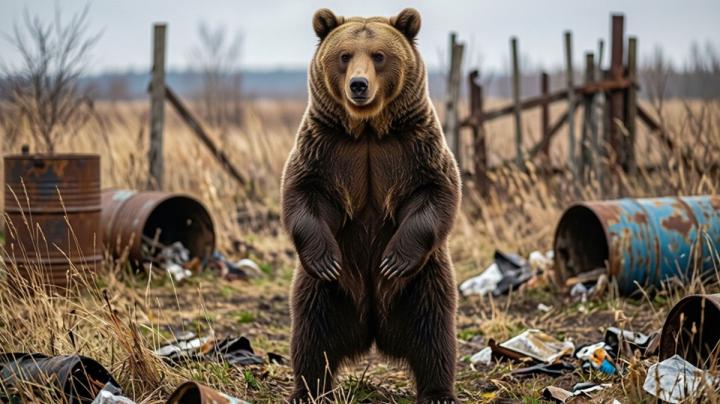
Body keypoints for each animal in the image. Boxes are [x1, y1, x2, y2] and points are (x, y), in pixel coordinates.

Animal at [281, 8, 461, 403]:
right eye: (344, 55)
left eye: (379, 55)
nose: (358, 85)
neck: (366, 130)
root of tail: (373, 330)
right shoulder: (324, 147)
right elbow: (302, 193)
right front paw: (326, 260)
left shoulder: (416, 145)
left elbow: (437, 192)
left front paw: (393, 261)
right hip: (323, 293)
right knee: (311, 335)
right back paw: (308, 390)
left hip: (424, 281)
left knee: (434, 333)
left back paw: (439, 390)